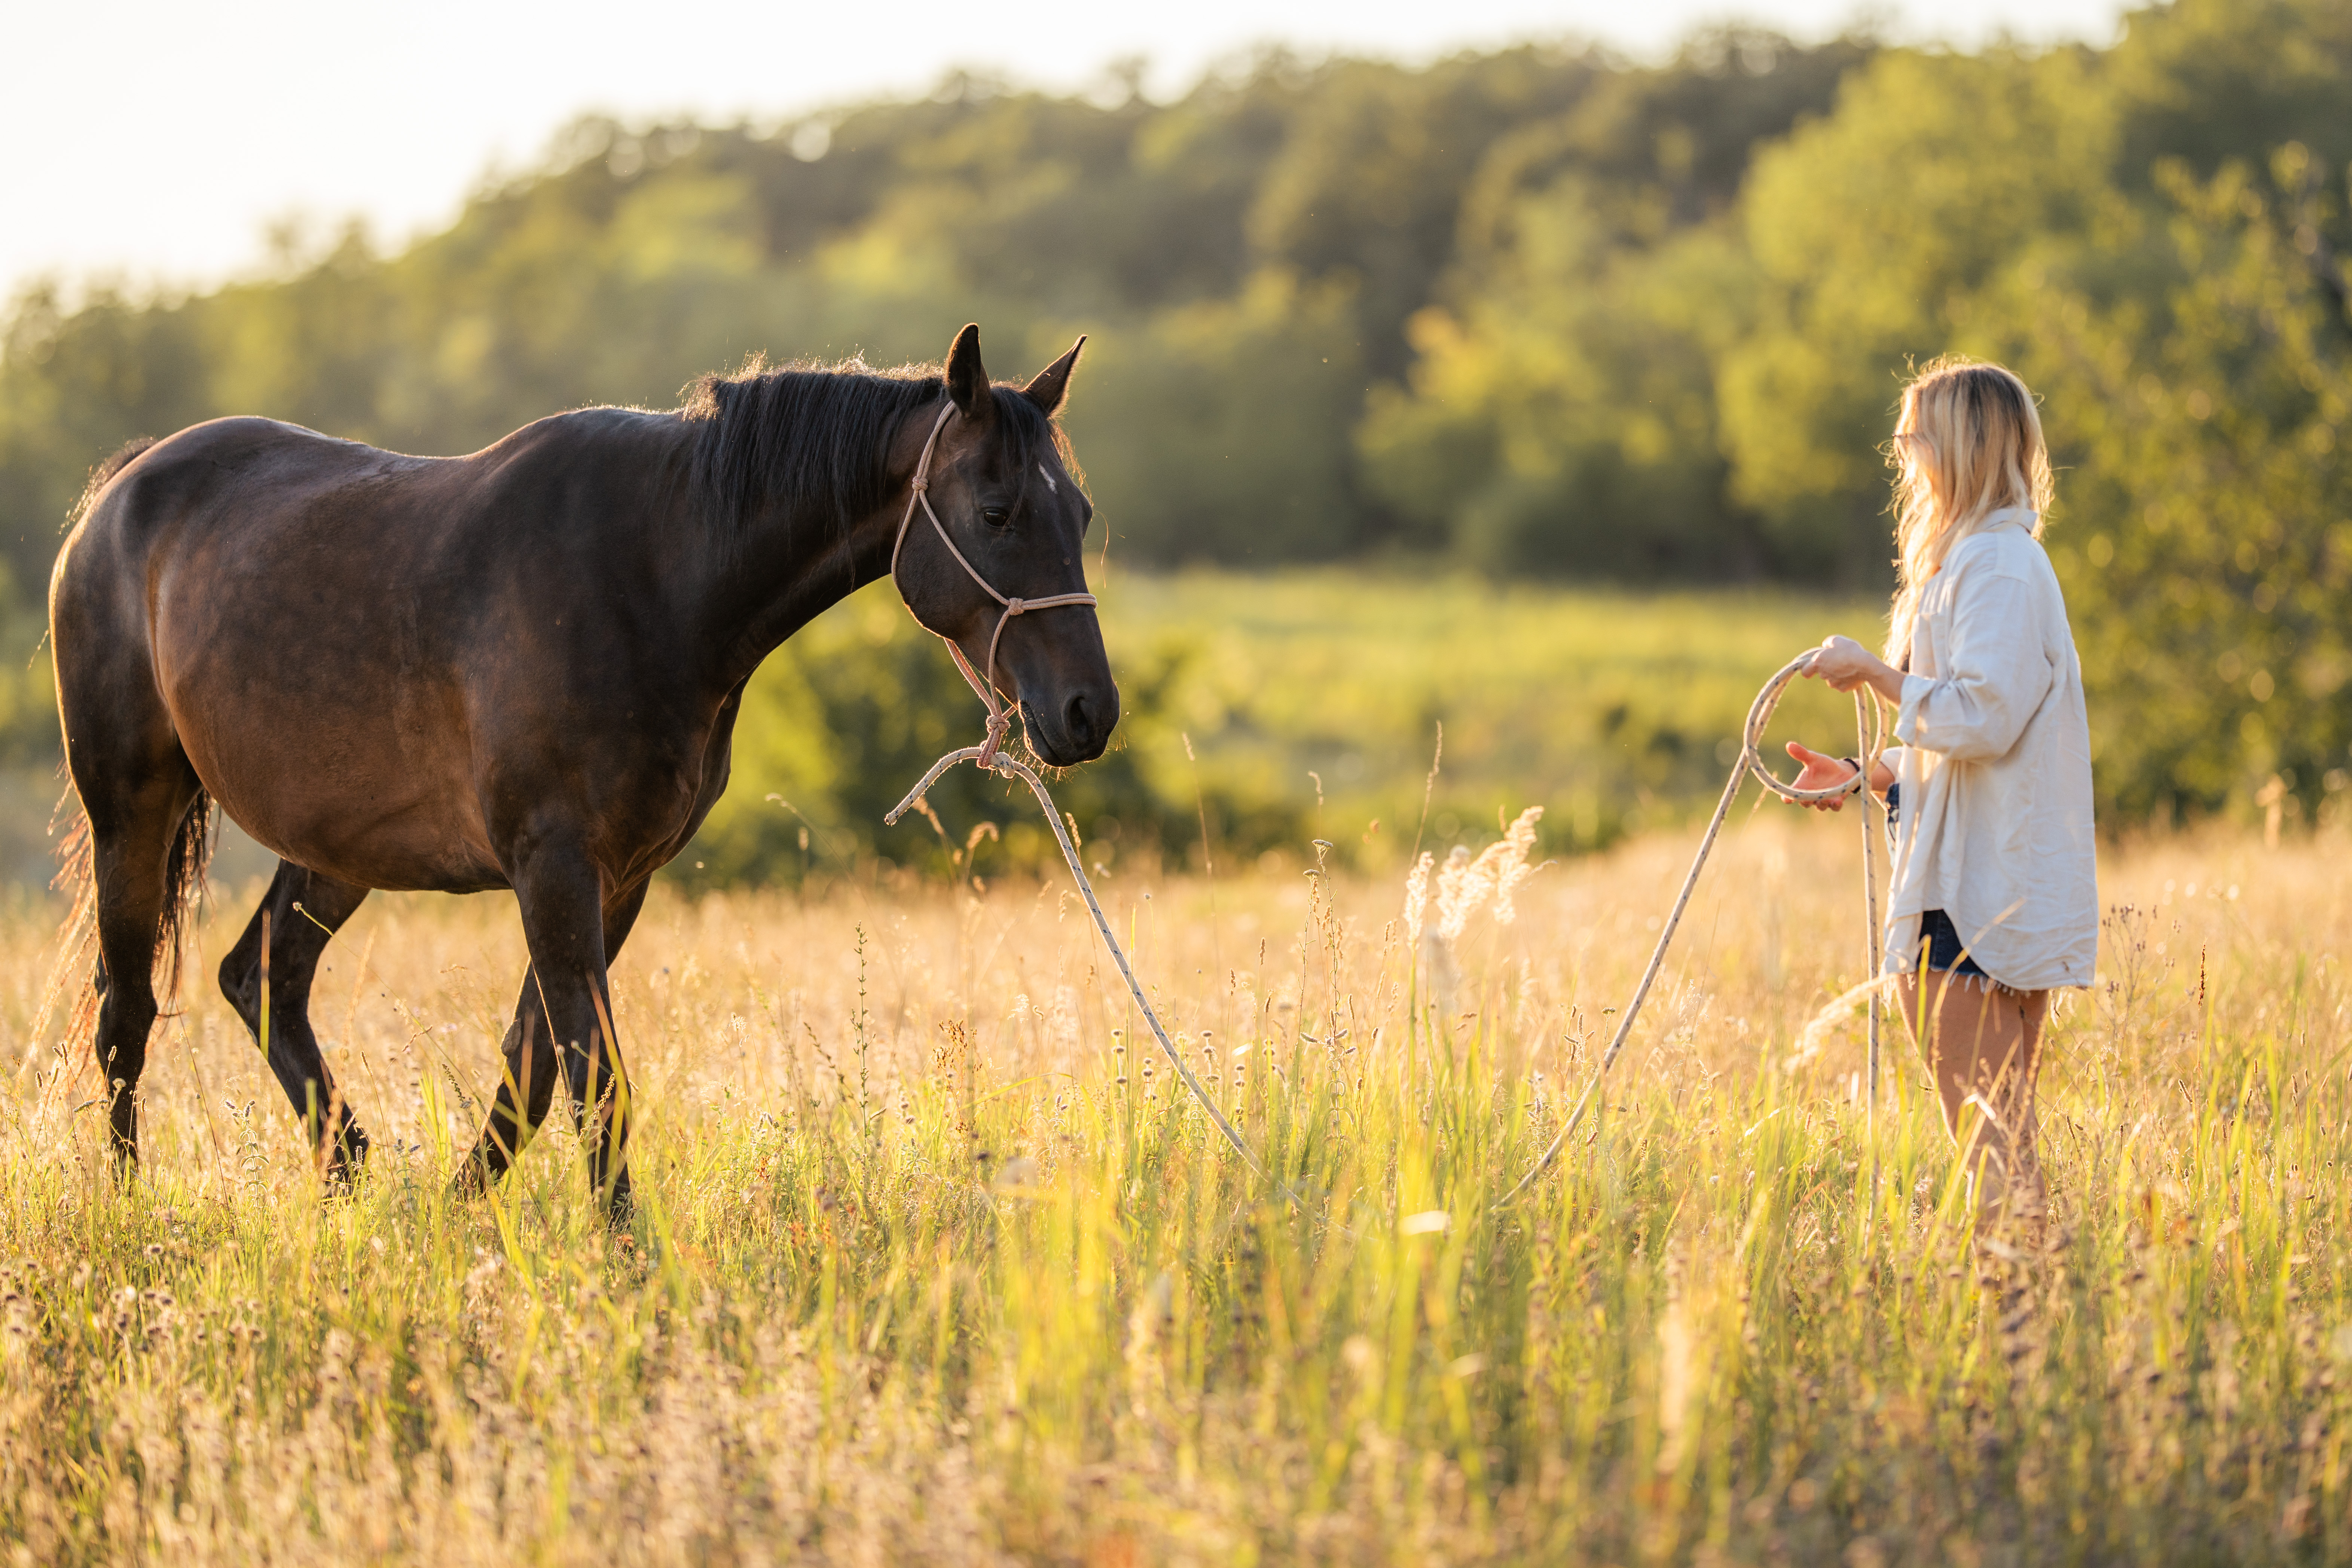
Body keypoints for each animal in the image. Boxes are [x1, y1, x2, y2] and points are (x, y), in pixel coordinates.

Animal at [47, 323, 1116, 1216]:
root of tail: (118, 494)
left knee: (262, 977)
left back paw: (348, 1175)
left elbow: (533, 1074)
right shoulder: (555, 865)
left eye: (1080, 510)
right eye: (997, 511)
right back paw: (130, 1209)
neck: (657, 577)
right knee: (126, 1012)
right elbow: (592, 1082)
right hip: (131, 813)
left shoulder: (618, 877)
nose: (1088, 713)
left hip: (336, 849)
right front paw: (627, 1261)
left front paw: (457, 1221)